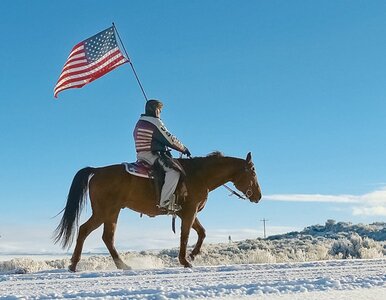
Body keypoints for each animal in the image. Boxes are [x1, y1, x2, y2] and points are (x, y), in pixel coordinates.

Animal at [53, 151, 262, 270]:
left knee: (107, 238)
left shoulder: (188, 213)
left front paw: (192, 255)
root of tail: (97, 170)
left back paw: (123, 265)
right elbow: (185, 235)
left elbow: (202, 233)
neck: (199, 174)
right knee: (84, 230)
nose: (259, 196)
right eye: (253, 172)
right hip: (103, 212)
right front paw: (185, 261)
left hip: (112, 213)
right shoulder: (189, 212)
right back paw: (74, 264)